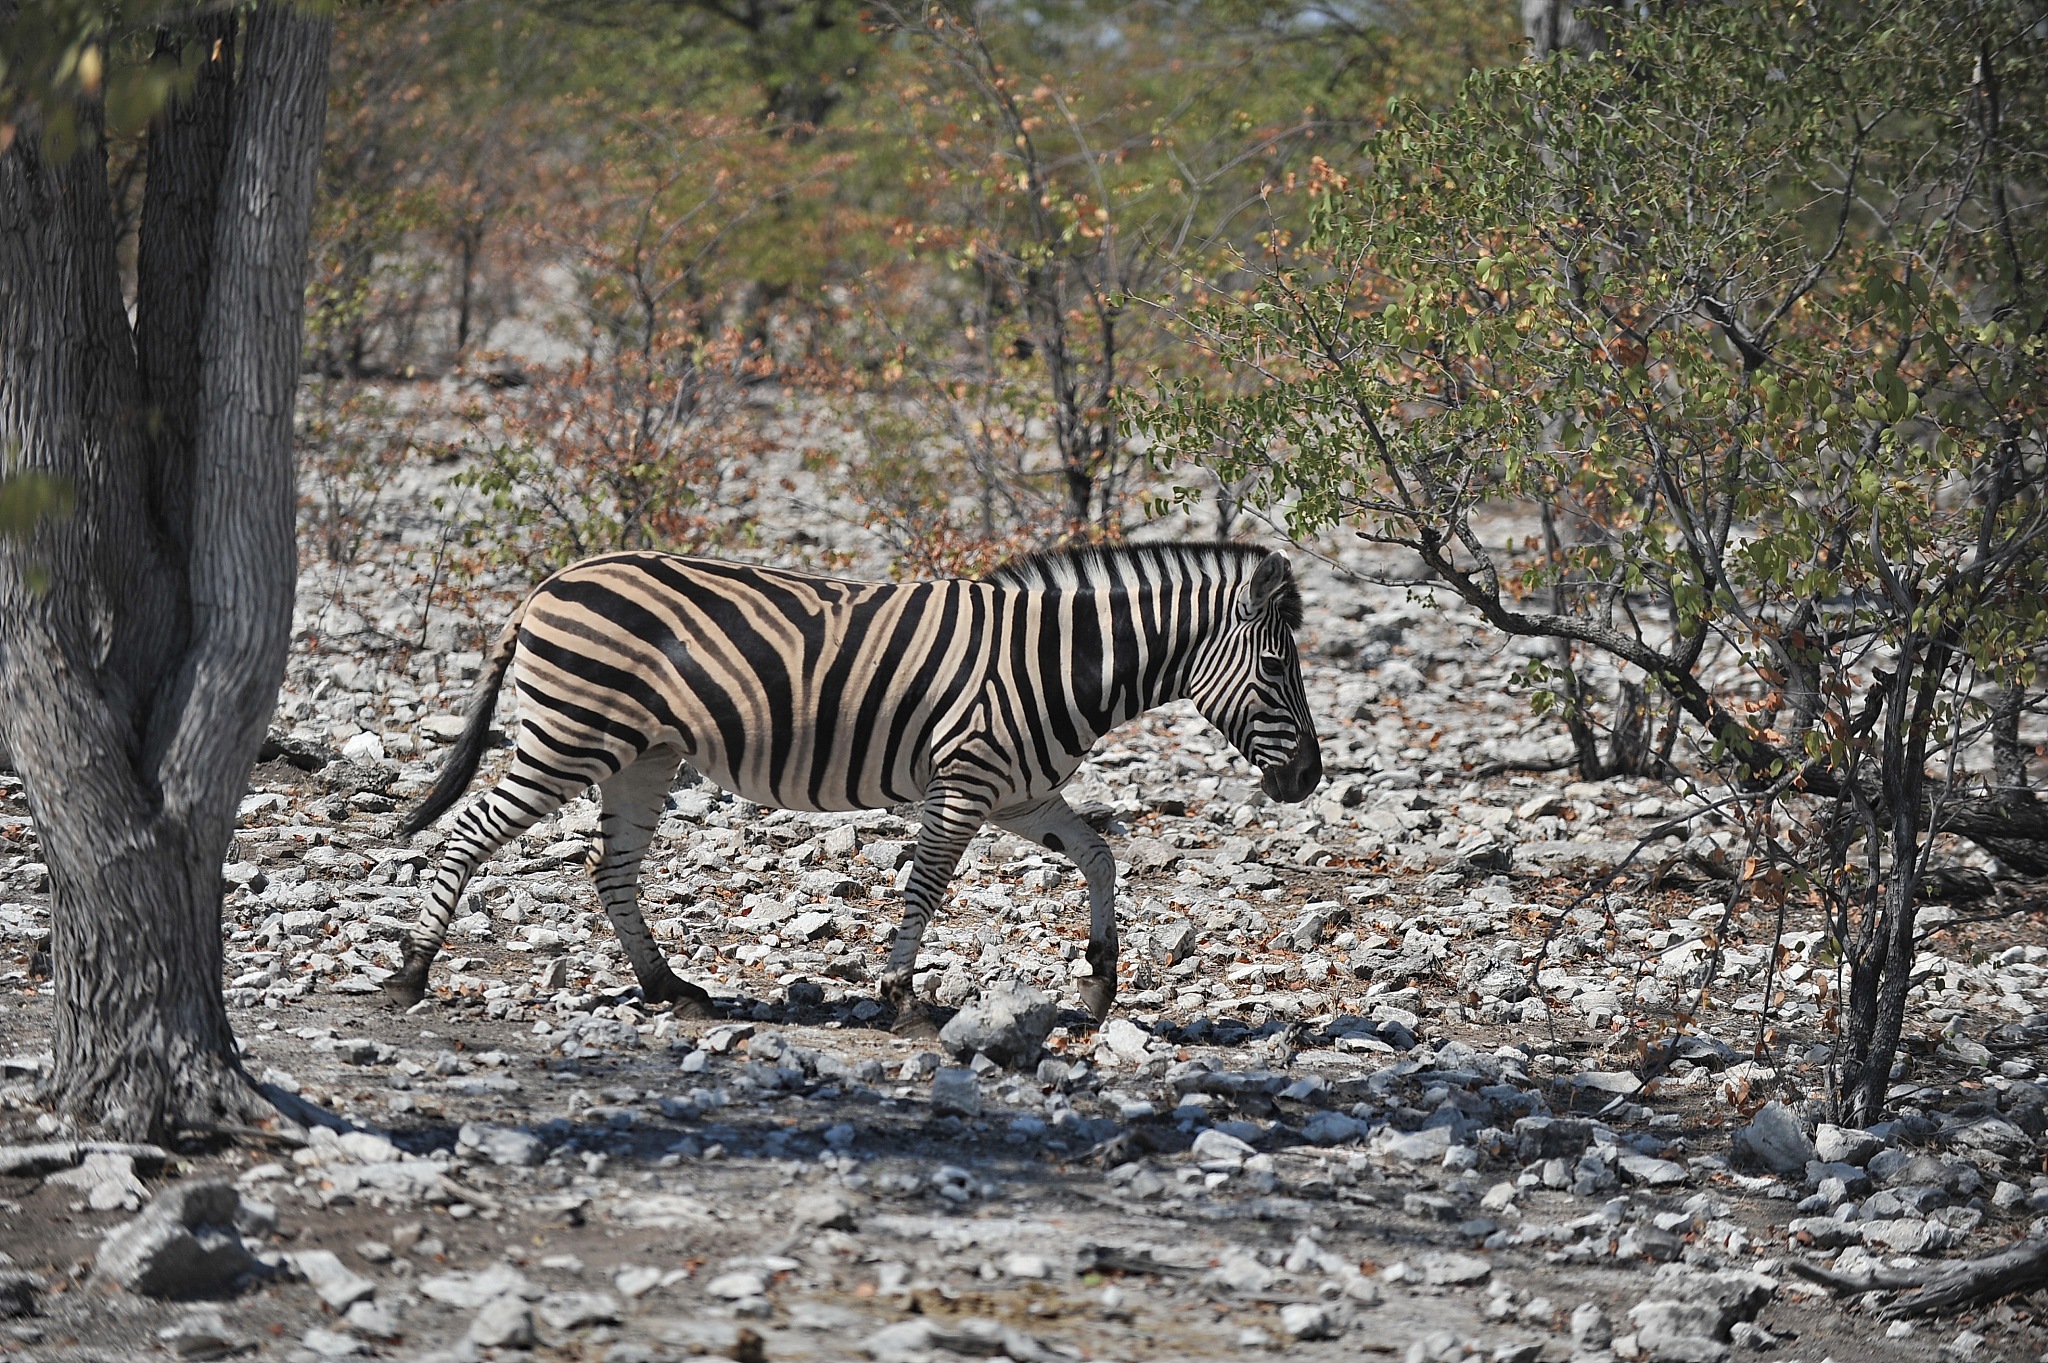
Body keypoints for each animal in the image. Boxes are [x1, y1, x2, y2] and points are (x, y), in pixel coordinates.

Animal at [383, 542, 1322, 1036]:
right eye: (1278, 669)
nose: (1311, 778)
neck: (1057, 663)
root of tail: (550, 581)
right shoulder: (966, 782)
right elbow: (927, 884)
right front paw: (902, 998)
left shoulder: (1021, 793)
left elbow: (1099, 856)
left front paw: (1097, 985)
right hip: (570, 736)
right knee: (469, 833)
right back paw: (413, 970)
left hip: (642, 756)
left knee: (611, 870)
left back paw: (668, 986)